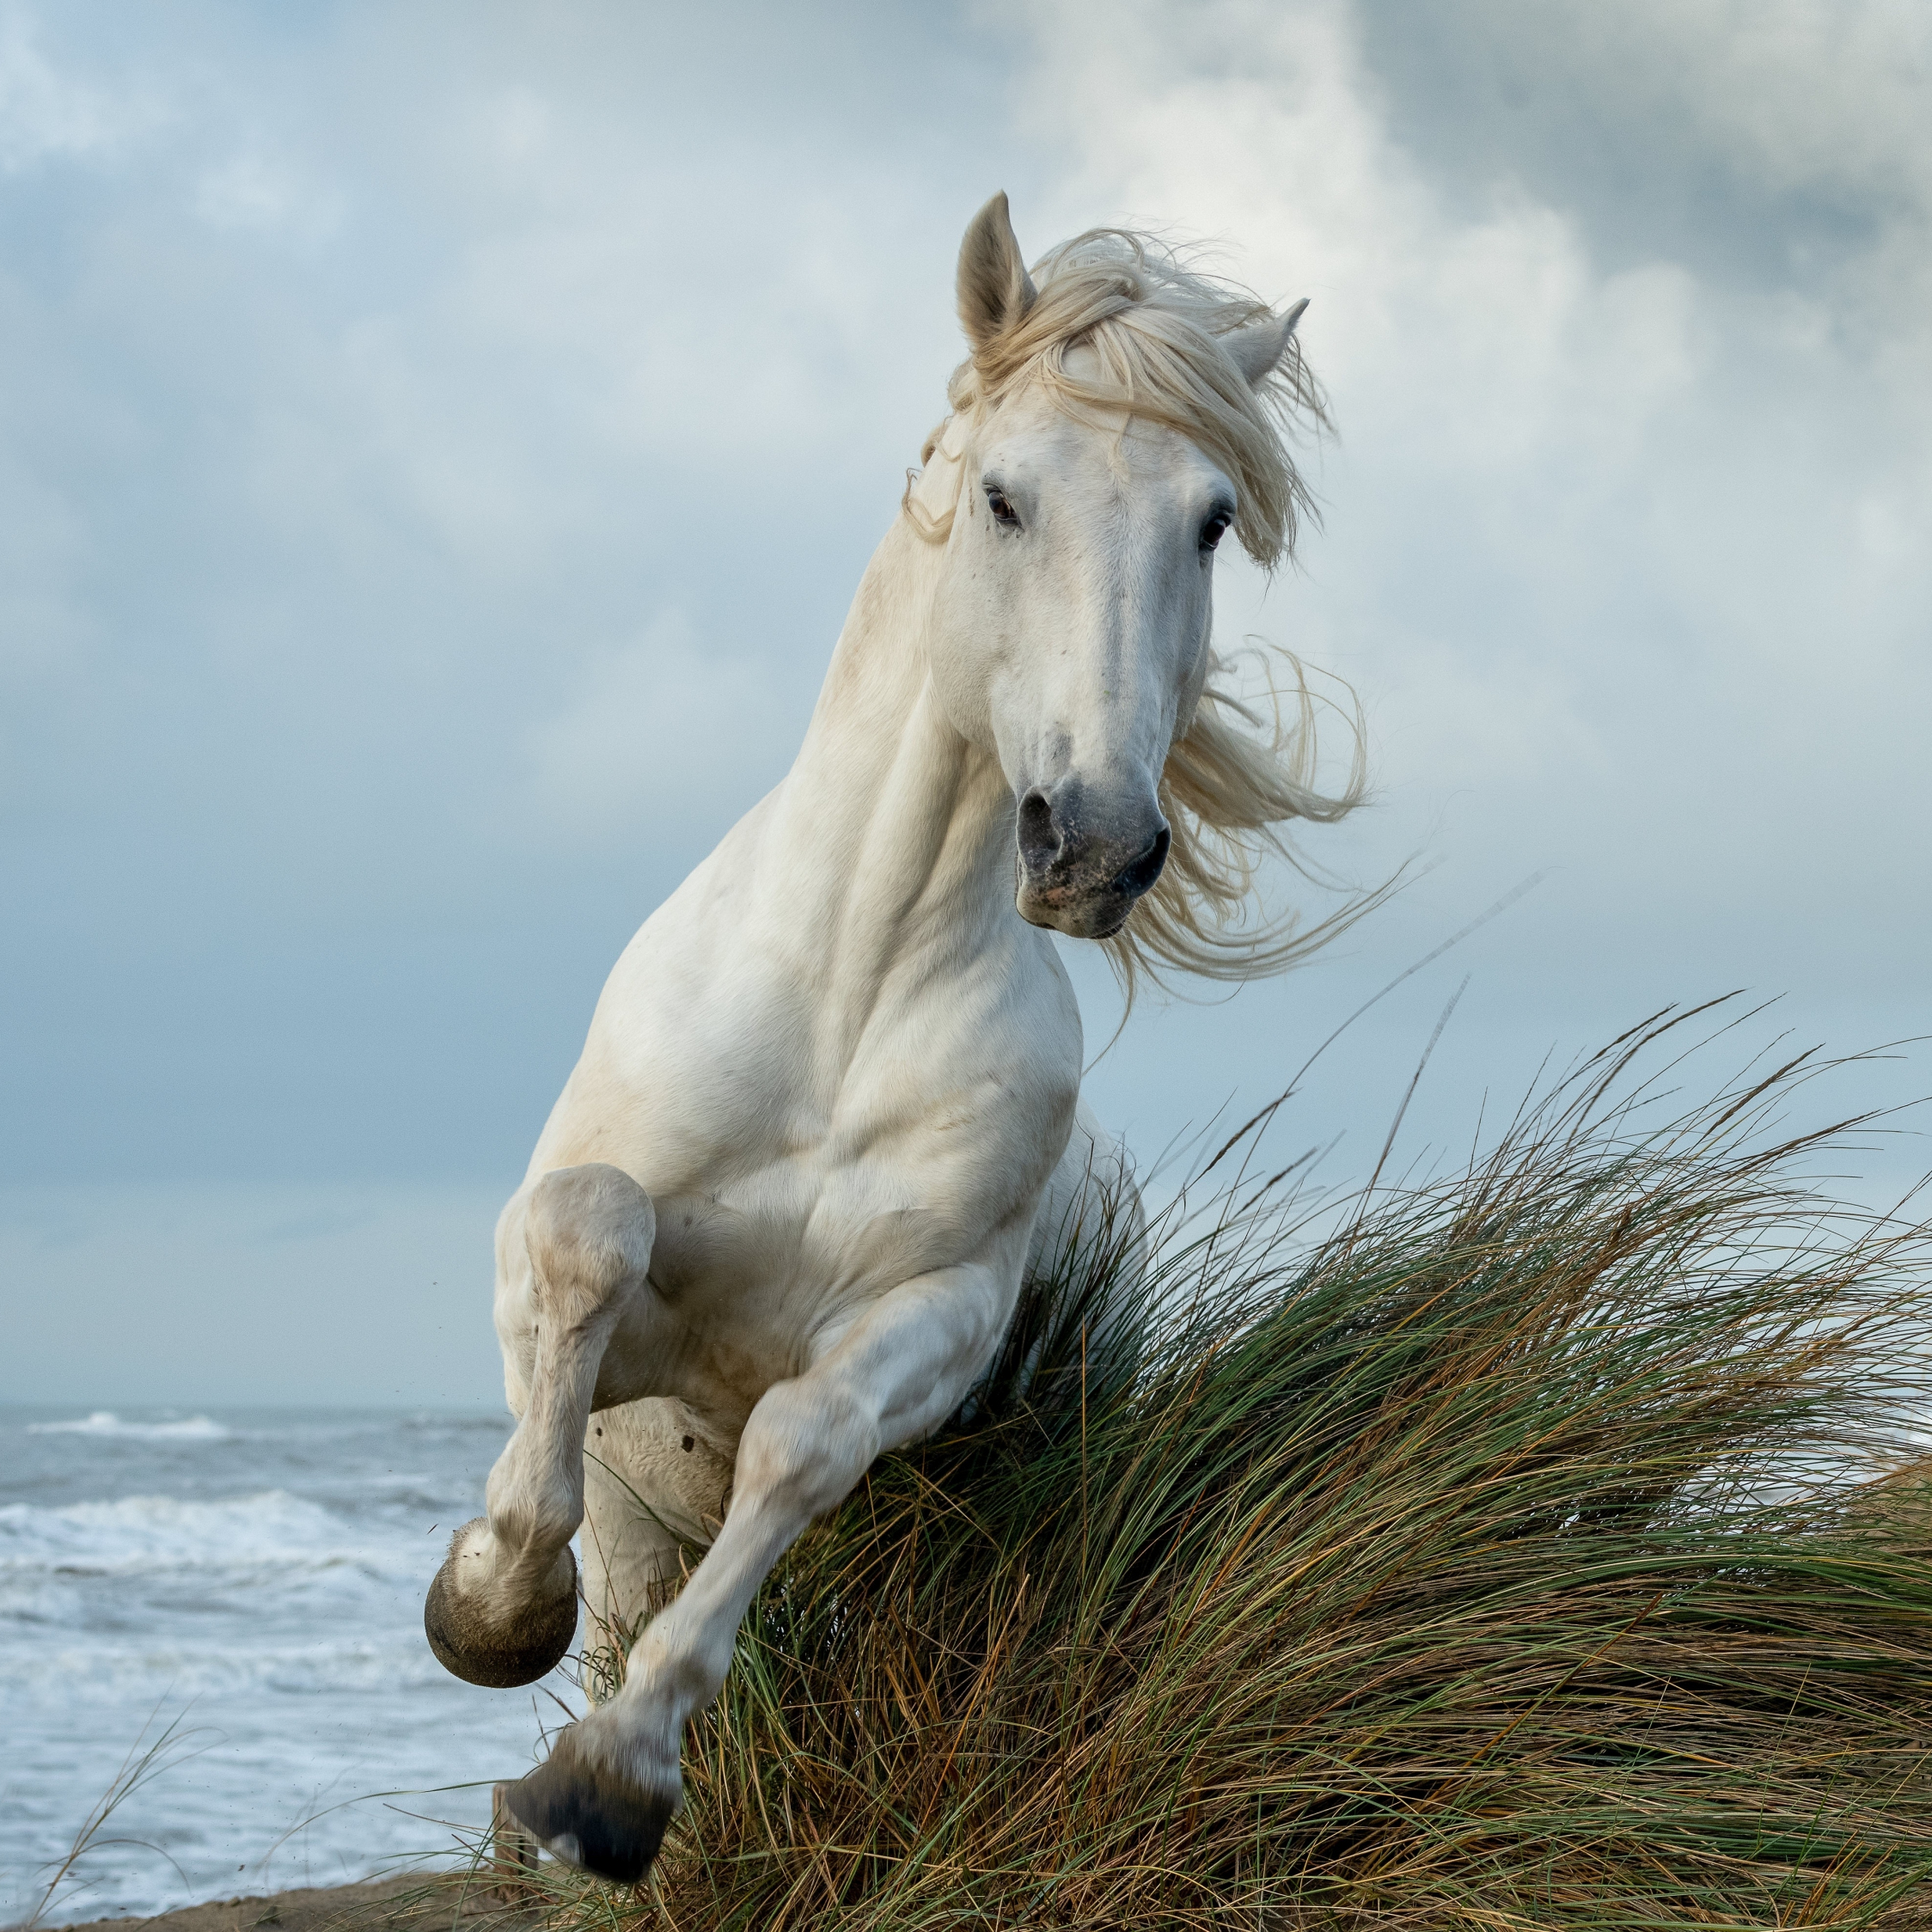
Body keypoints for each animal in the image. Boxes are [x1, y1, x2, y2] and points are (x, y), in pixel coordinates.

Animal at [426, 196, 1360, 1886]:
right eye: (1002, 496)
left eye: (1205, 521)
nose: (1096, 844)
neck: (846, 995)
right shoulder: (610, 1320)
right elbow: (591, 1236)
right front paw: (488, 1608)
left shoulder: (930, 1321)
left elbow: (801, 1435)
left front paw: (609, 1783)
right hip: (644, 1513)